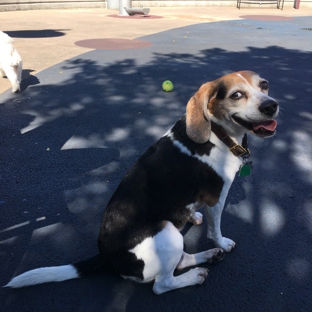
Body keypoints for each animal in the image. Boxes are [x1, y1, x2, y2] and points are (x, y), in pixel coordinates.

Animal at [4, 70, 278, 294]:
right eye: (236, 95)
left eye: (264, 84)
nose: (271, 106)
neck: (217, 134)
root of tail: (105, 258)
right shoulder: (216, 198)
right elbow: (215, 229)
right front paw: (221, 242)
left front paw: (193, 217)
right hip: (167, 232)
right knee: (161, 284)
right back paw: (197, 273)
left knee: (180, 260)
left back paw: (209, 256)